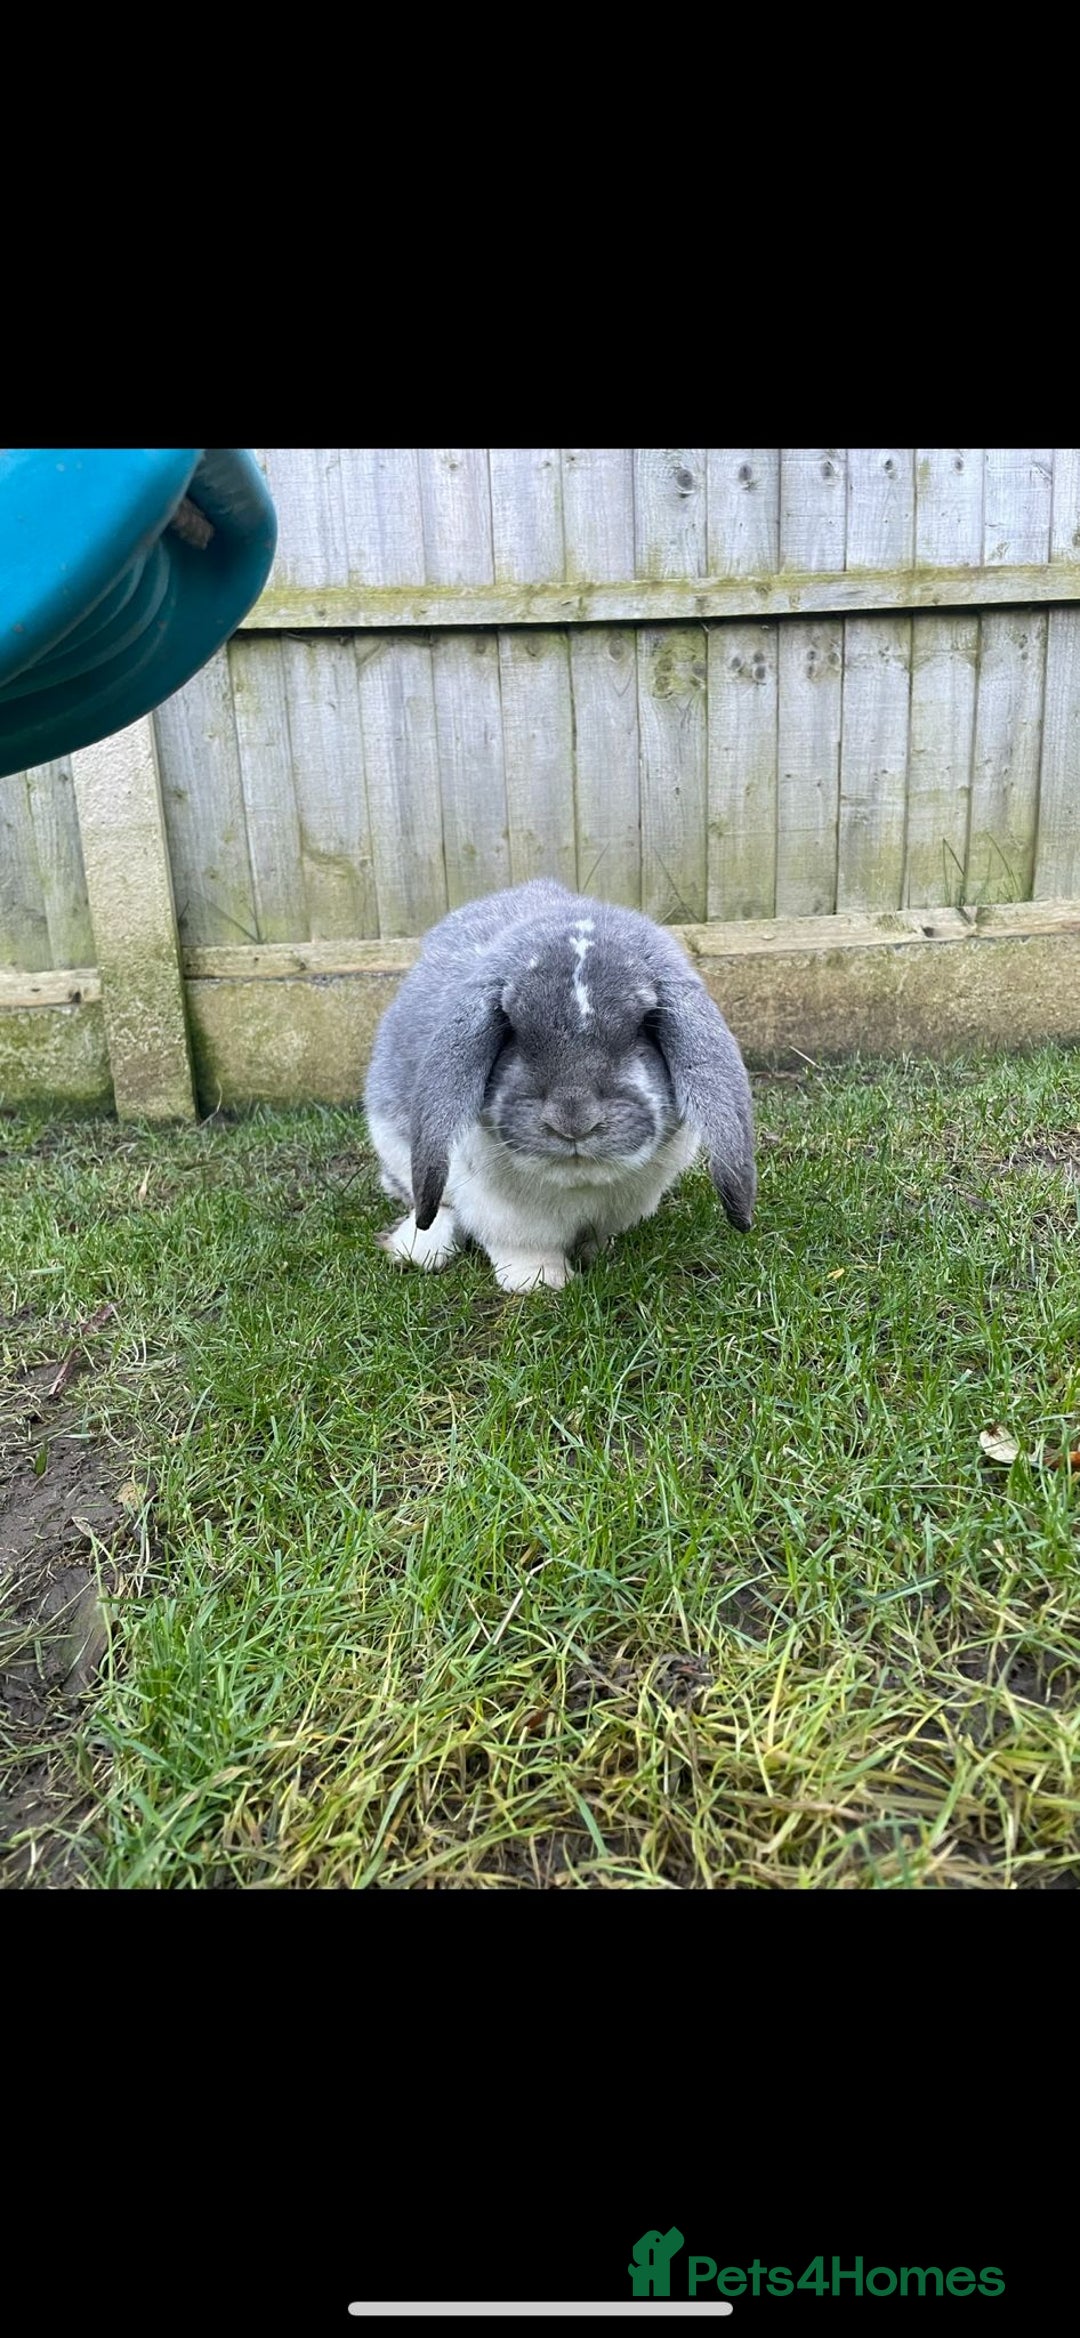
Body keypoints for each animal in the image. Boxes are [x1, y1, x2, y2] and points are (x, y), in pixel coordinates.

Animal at [364, 878, 755, 1294]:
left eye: (644, 1025)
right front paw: (542, 1283)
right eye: (511, 1027)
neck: (577, 1185)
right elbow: (522, 1248)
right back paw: (418, 1249)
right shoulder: (501, 1214)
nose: (573, 1119)